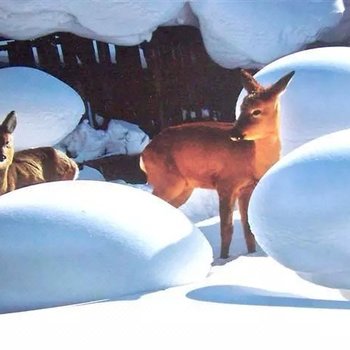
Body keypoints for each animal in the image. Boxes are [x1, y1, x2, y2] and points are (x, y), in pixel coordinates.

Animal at [141, 69, 294, 260]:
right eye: (241, 108)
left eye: (256, 111)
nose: (234, 133)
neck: (253, 159)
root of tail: (143, 155)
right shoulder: (225, 183)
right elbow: (226, 229)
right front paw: (223, 259)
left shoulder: (248, 188)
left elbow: (248, 229)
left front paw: (250, 254)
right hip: (168, 181)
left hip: (184, 188)